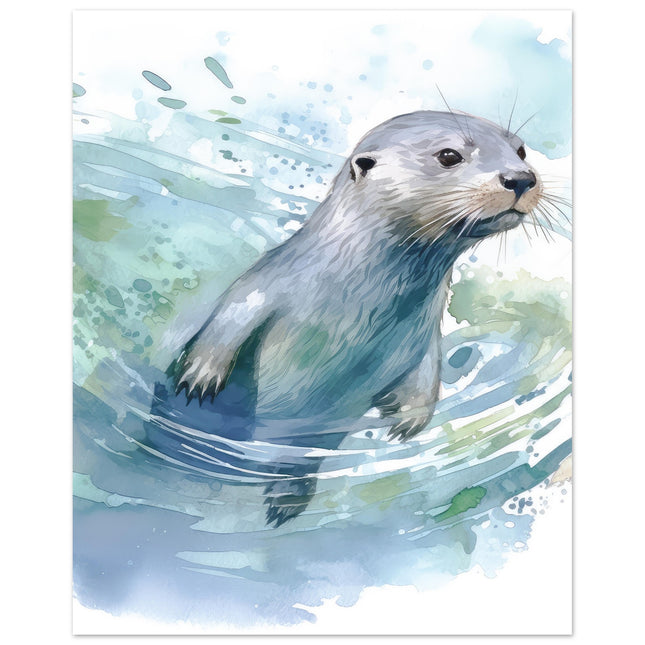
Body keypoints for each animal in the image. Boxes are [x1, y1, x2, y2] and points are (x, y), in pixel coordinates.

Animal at [146, 109, 544, 526]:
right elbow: (231, 316)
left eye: (521, 150)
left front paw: (410, 418)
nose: (521, 178)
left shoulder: (424, 337)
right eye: (449, 155)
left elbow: (428, 372)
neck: (359, 304)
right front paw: (201, 374)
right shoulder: (269, 283)